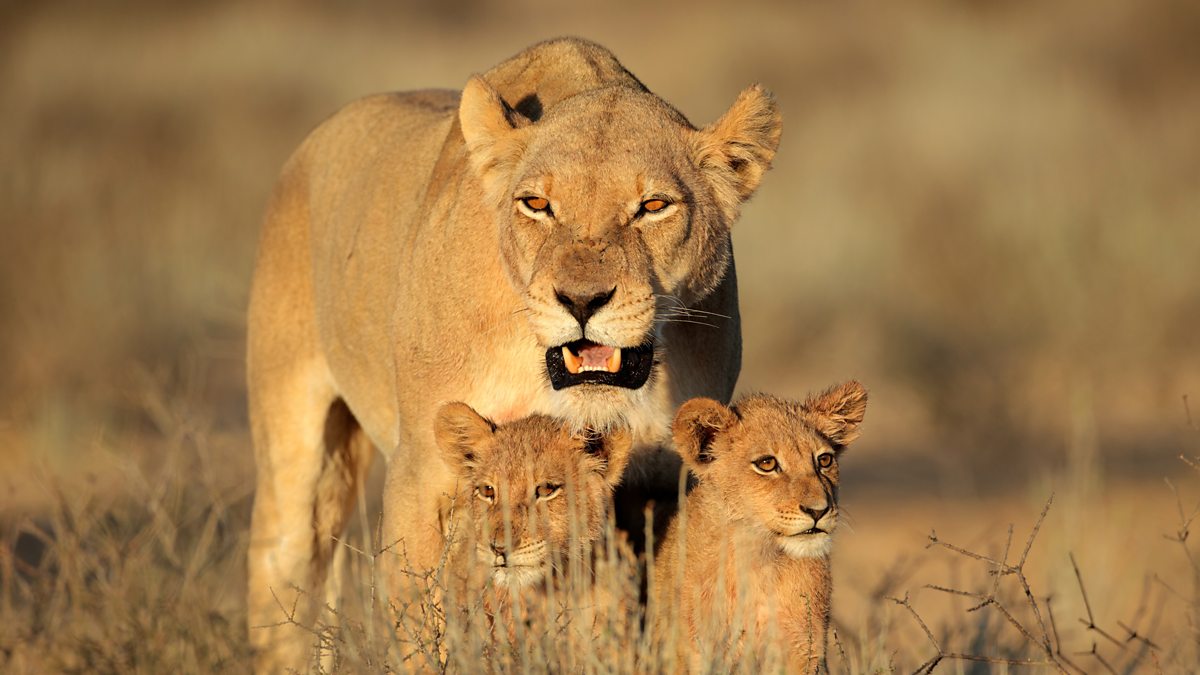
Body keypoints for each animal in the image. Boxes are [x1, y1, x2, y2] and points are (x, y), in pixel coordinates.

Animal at [246, 37, 781, 671]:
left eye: (653, 206)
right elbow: (422, 628)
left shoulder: (660, 487)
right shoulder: (422, 473)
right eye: (536, 204)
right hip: (296, 457)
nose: (581, 300)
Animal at [651, 381, 868, 674]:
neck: (758, 559)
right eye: (767, 464)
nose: (819, 510)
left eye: (824, 460)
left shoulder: (804, 650)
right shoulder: (697, 652)